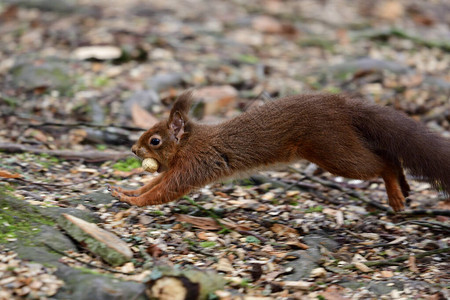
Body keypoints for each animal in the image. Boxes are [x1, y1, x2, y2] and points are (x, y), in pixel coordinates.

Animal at [110, 90, 450, 212]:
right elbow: (155, 183)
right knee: (388, 155)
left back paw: (395, 192)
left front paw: (133, 201)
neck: (190, 143)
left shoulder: (196, 164)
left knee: (380, 163)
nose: (133, 149)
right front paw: (126, 191)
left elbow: (164, 190)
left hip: (334, 151)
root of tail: (341, 105)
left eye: (155, 140)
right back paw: (403, 187)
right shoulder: (179, 166)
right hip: (341, 144)